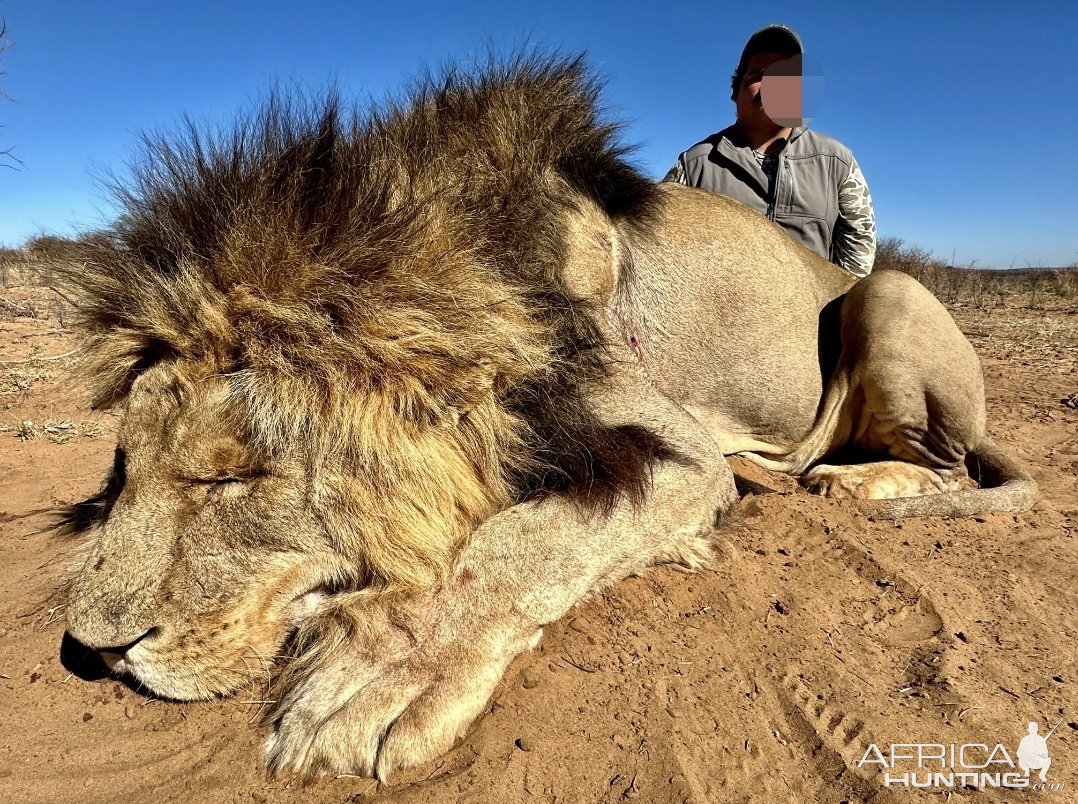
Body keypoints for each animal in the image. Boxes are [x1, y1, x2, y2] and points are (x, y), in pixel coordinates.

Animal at [56, 54, 1034, 775]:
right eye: (123, 468)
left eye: (232, 476)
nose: (96, 649)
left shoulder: (677, 453)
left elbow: (525, 538)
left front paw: (377, 671)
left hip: (887, 291)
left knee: (944, 465)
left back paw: (856, 484)